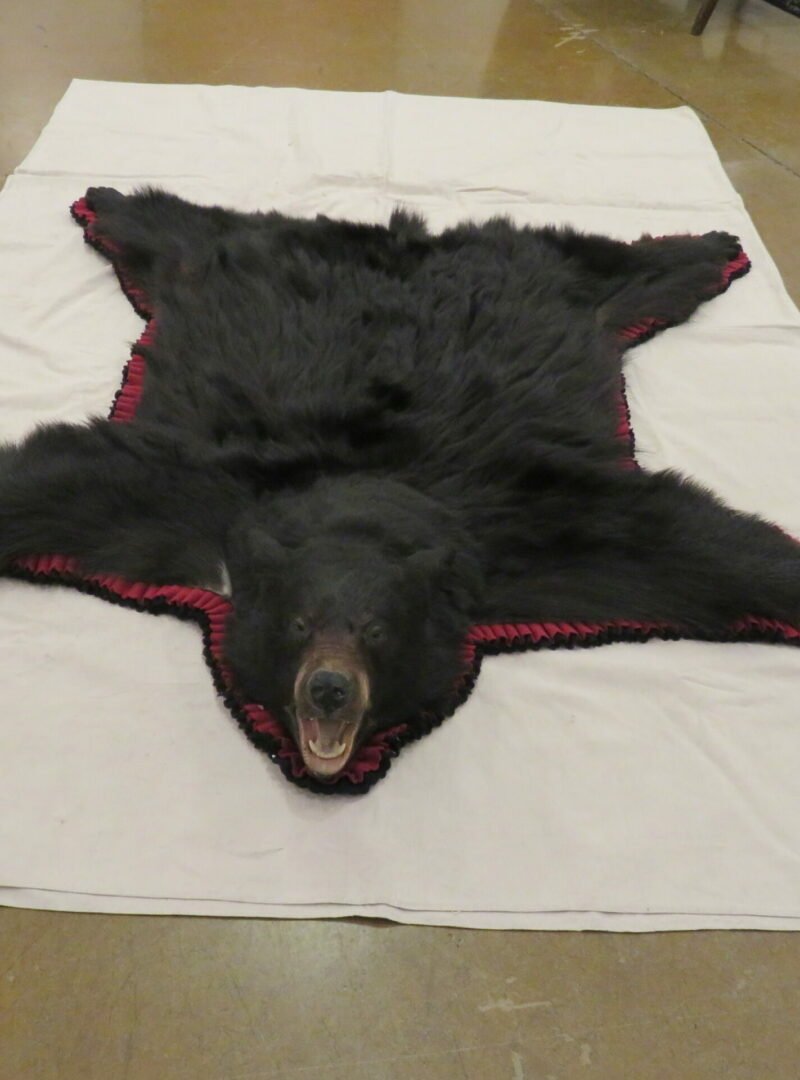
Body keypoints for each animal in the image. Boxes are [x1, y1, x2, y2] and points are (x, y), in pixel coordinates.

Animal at [1, 186, 799, 789]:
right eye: (297, 623)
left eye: (379, 630)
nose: (329, 687)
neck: (369, 496)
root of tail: (409, 240)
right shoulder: (189, 494)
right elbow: (57, 484)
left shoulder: (532, 527)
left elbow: (697, 546)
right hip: (222, 261)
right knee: (179, 227)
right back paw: (105, 201)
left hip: (555, 277)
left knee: (616, 266)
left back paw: (713, 246)